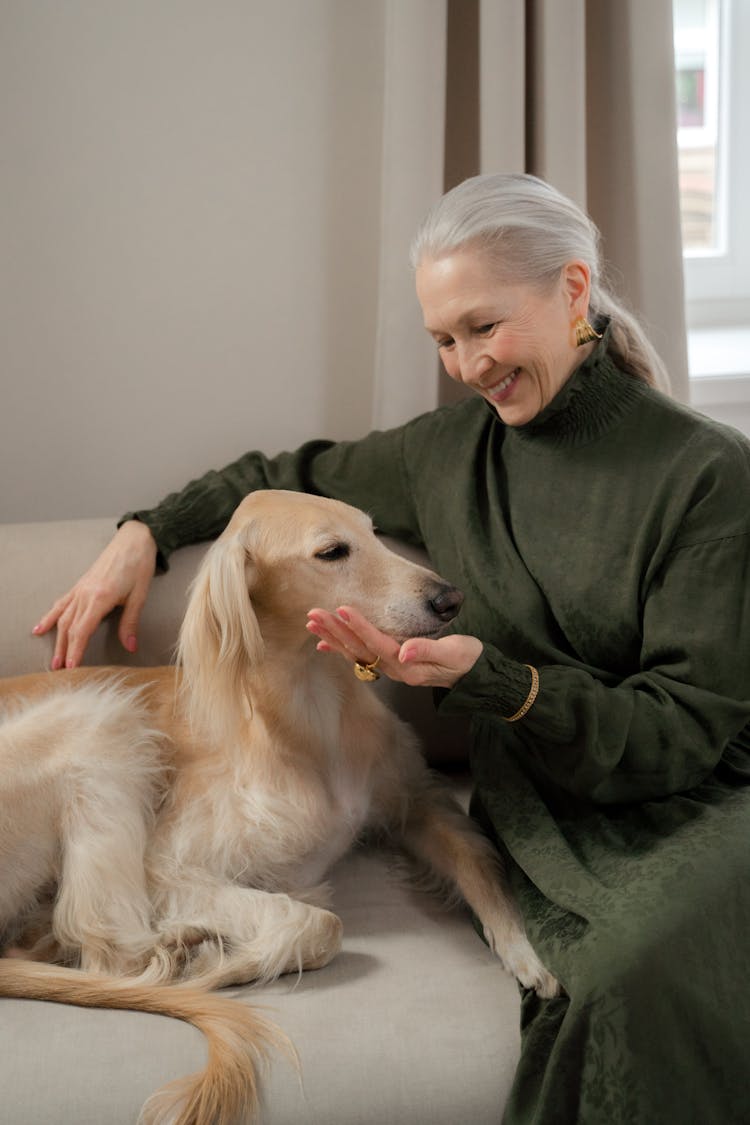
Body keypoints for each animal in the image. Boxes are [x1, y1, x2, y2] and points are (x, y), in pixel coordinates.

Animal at [0, 492, 550, 1125]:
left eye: (374, 532)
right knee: (107, 959)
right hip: (99, 721)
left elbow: (474, 859)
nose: (450, 599)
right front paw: (224, 961)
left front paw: (525, 952)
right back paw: (180, 950)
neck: (314, 712)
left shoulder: (413, 801)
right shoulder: (168, 866)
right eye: (331, 551)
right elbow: (319, 922)